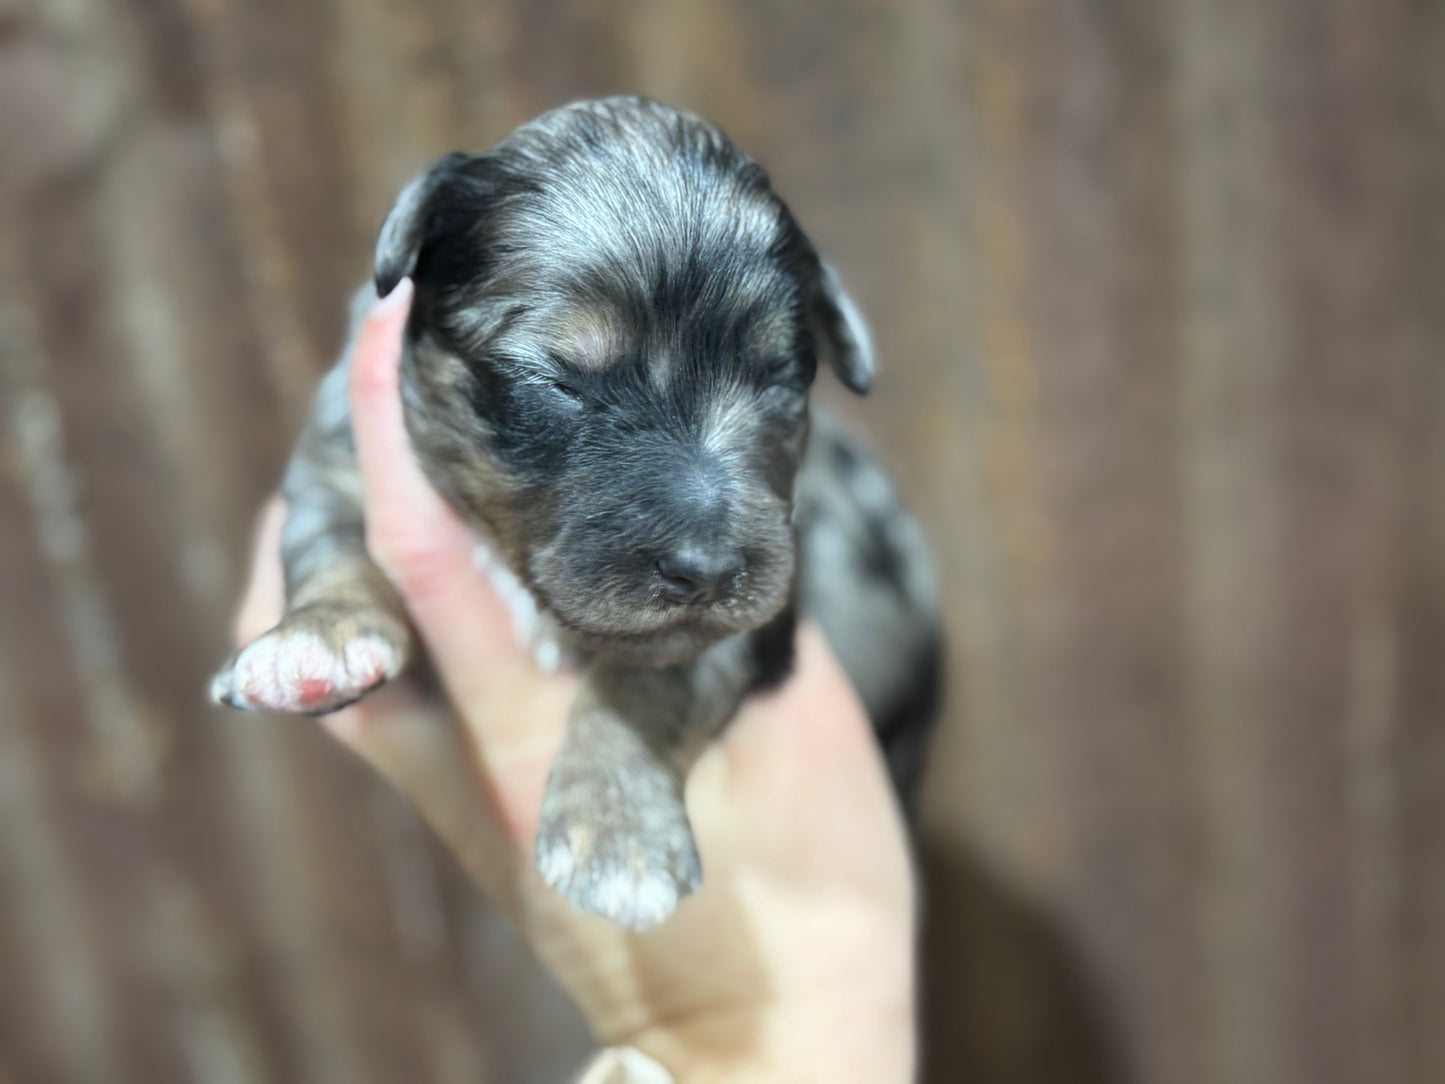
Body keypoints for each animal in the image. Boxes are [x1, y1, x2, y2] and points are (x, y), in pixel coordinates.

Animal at [209, 97, 942, 936]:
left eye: (779, 380)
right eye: (561, 381)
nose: (708, 570)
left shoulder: (762, 613)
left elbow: (647, 681)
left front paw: (615, 832)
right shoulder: (338, 457)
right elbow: (328, 542)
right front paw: (316, 639)